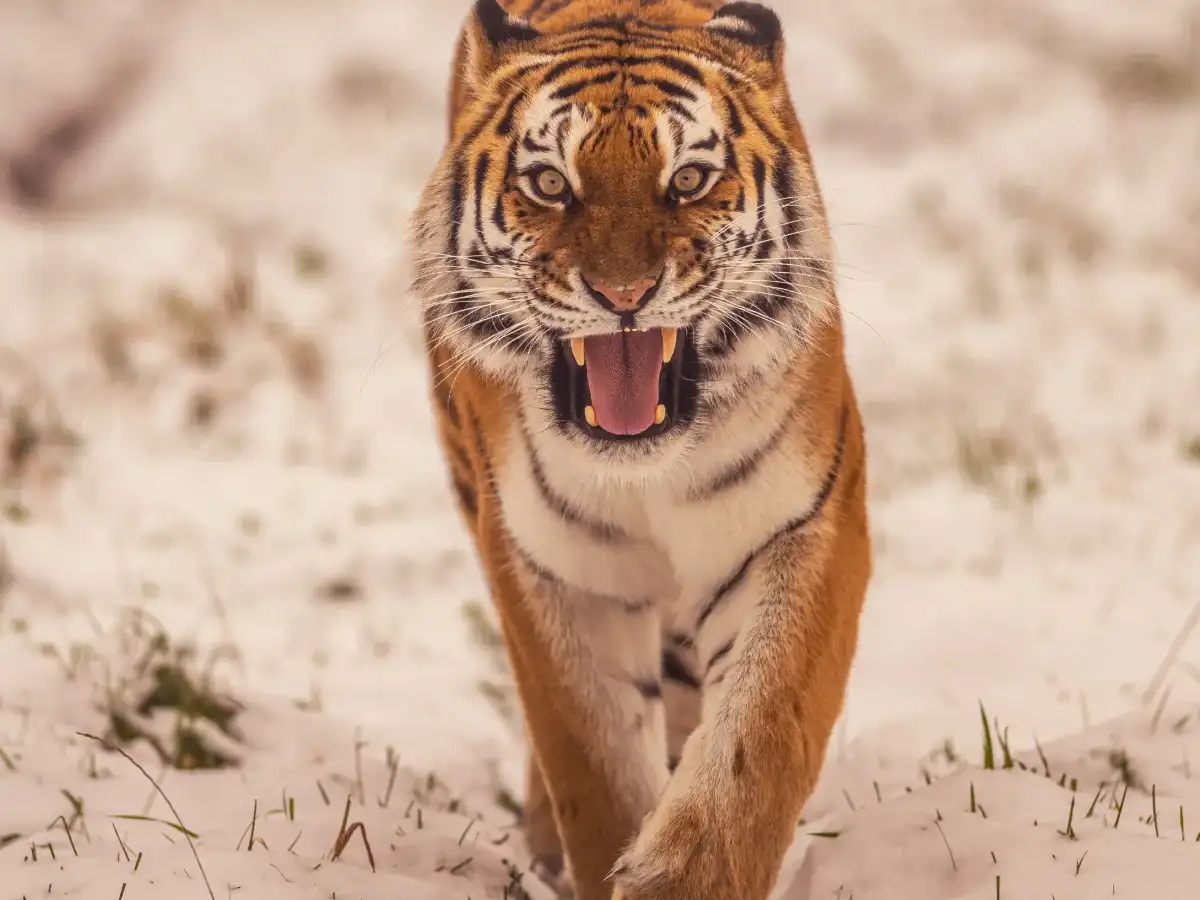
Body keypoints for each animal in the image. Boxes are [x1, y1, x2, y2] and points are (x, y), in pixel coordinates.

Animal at [407, 1, 872, 898]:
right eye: (551, 184)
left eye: (686, 181)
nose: (623, 296)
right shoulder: (556, 568)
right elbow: (594, 762)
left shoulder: (802, 525)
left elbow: (757, 734)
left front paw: (683, 872)